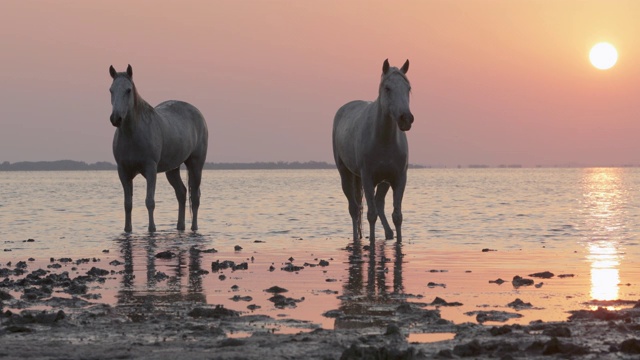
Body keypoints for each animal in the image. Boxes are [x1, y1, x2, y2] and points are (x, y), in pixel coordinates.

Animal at [109, 64, 209, 233]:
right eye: (111, 90)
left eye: (128, 90)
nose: (116, 118)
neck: (132, 134)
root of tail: (198, 113)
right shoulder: (123, 171)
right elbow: (127, 204)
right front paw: (127, 229)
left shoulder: (151, 169)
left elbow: (150, 201)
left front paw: (152, 229)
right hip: (173, 169)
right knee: (181, 193)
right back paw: (180, 227)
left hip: (196, 165)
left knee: (195, 197)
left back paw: (194, 228)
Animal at [332, 59, 412, 243]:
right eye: (387, 88)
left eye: (408, 88)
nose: (406, 119)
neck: (384, 140)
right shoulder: (367, 178)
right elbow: (371, 214)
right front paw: (372, 242)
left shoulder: (399, 178)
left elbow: (397, 215)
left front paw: (399, 241)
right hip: (346, 174)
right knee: (354, 208)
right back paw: (357, 238)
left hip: (383, 181)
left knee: (378, 203)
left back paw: (389, 233)